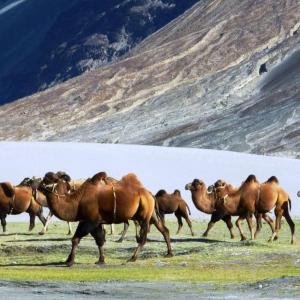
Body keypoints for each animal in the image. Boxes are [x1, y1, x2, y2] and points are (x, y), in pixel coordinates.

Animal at [39, 171, 173, 264]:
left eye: (48, 178)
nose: (38, 185)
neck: (77, 201)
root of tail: (150, 194)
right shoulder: (94, 222)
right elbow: (100, 240)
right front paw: (101, 260)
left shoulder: (90, 221)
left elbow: (76, 239)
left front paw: (70, 261)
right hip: (151, 214)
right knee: (164, 230)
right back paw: (169, 253)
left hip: (144, 216)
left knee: (143, 237)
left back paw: (133, 258)